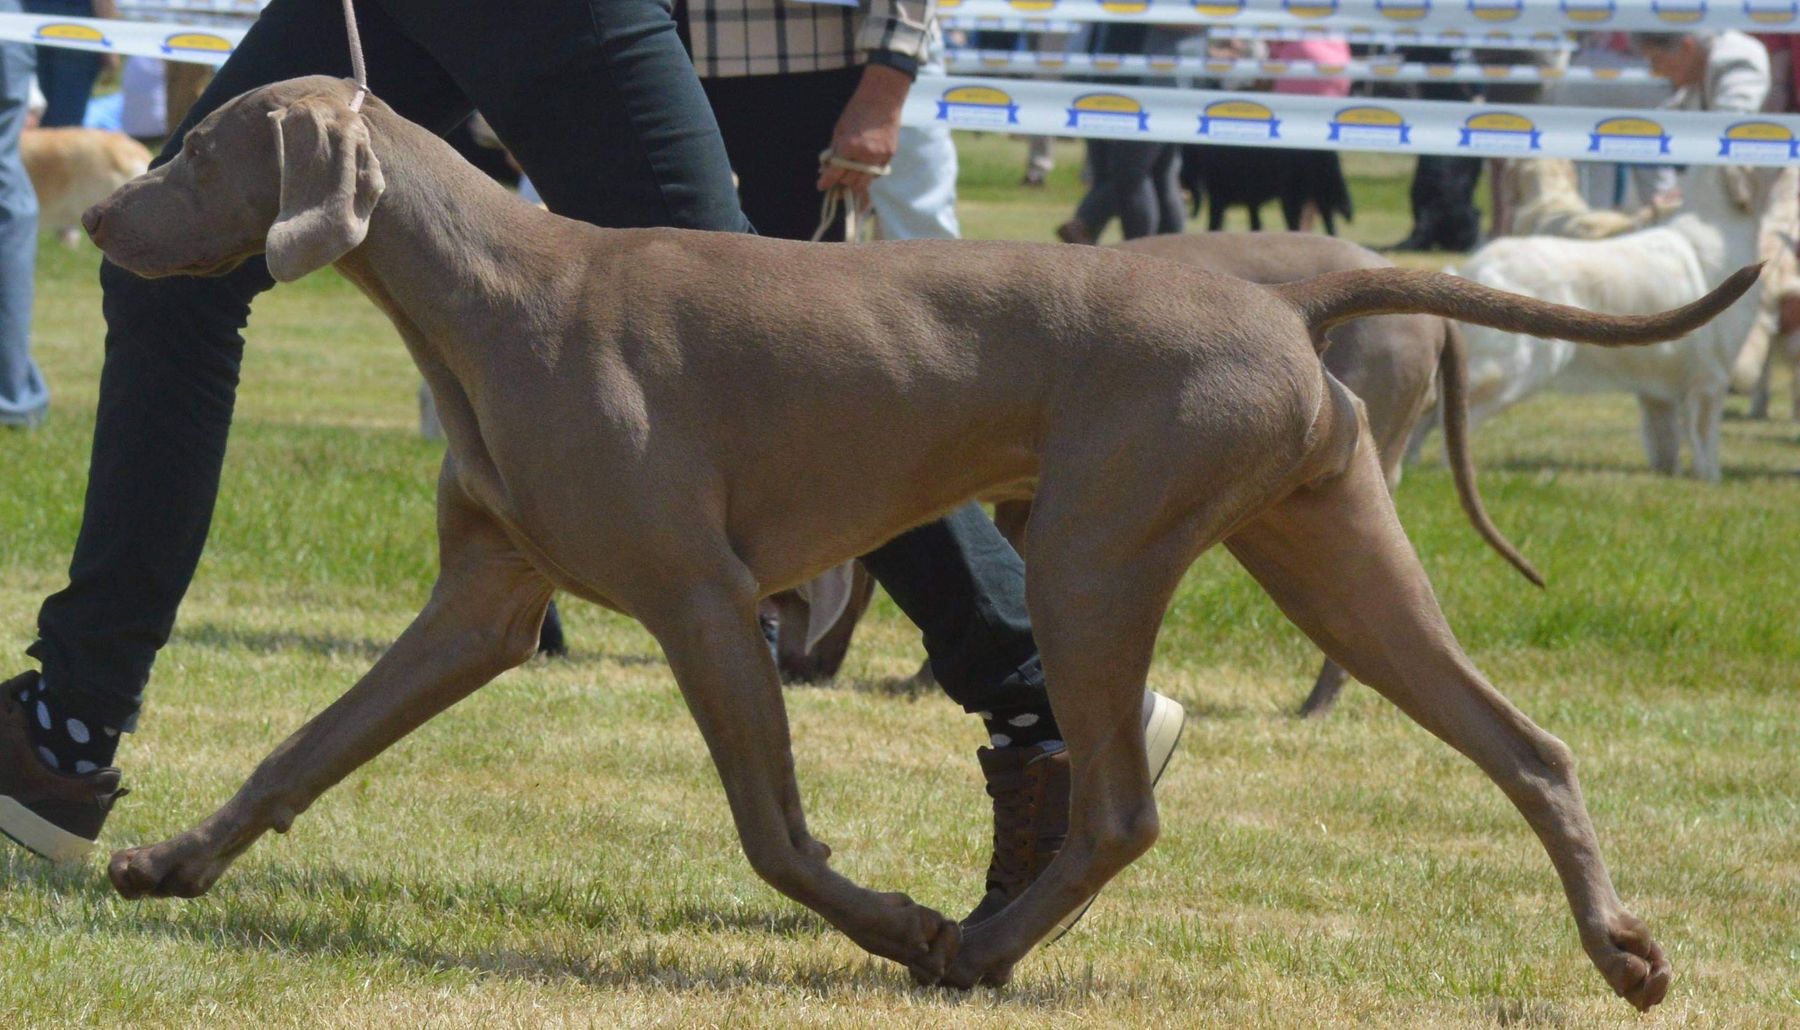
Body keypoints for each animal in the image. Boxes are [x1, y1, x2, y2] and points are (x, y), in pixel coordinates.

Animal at [1180, 144, 1353, 235]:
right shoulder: (1250, 201)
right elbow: (1255, 224)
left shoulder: (1219, 197)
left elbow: (1215, 224)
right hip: (1317, 195)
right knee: (1328, 222)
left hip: (1294, 196)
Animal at [1461, 162, 1785, 482]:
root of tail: (1477, 265)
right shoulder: (1711, 378)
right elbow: (1707, 443)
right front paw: (1710, 480)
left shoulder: (1659, 390)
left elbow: (1664, 440)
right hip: (1515, 370)